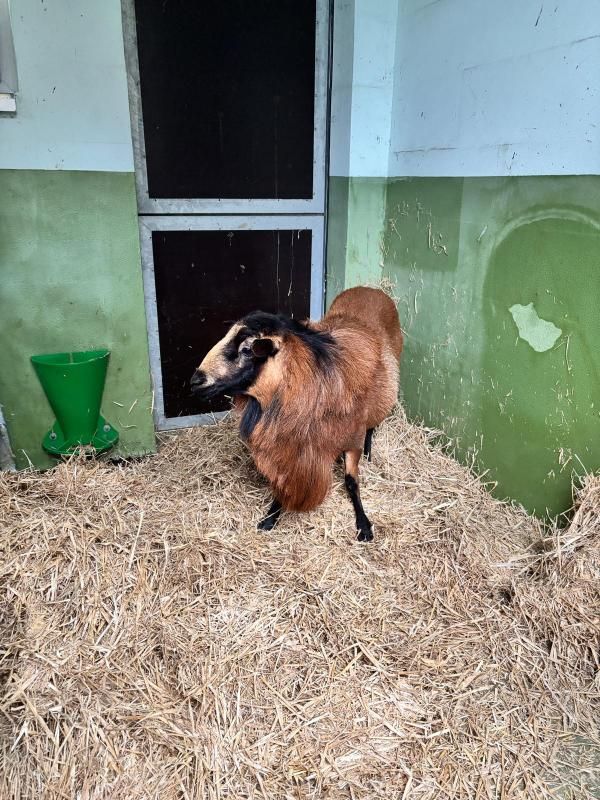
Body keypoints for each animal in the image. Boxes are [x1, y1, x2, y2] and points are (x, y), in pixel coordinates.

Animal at [190, 286, 402, 541]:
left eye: (247, 349)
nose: (195, 381)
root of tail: (370, 289)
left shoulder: (352, 440)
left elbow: (351, 482)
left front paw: (364, 525)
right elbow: (283, 485)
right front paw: (270, 518)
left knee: (372, 426)